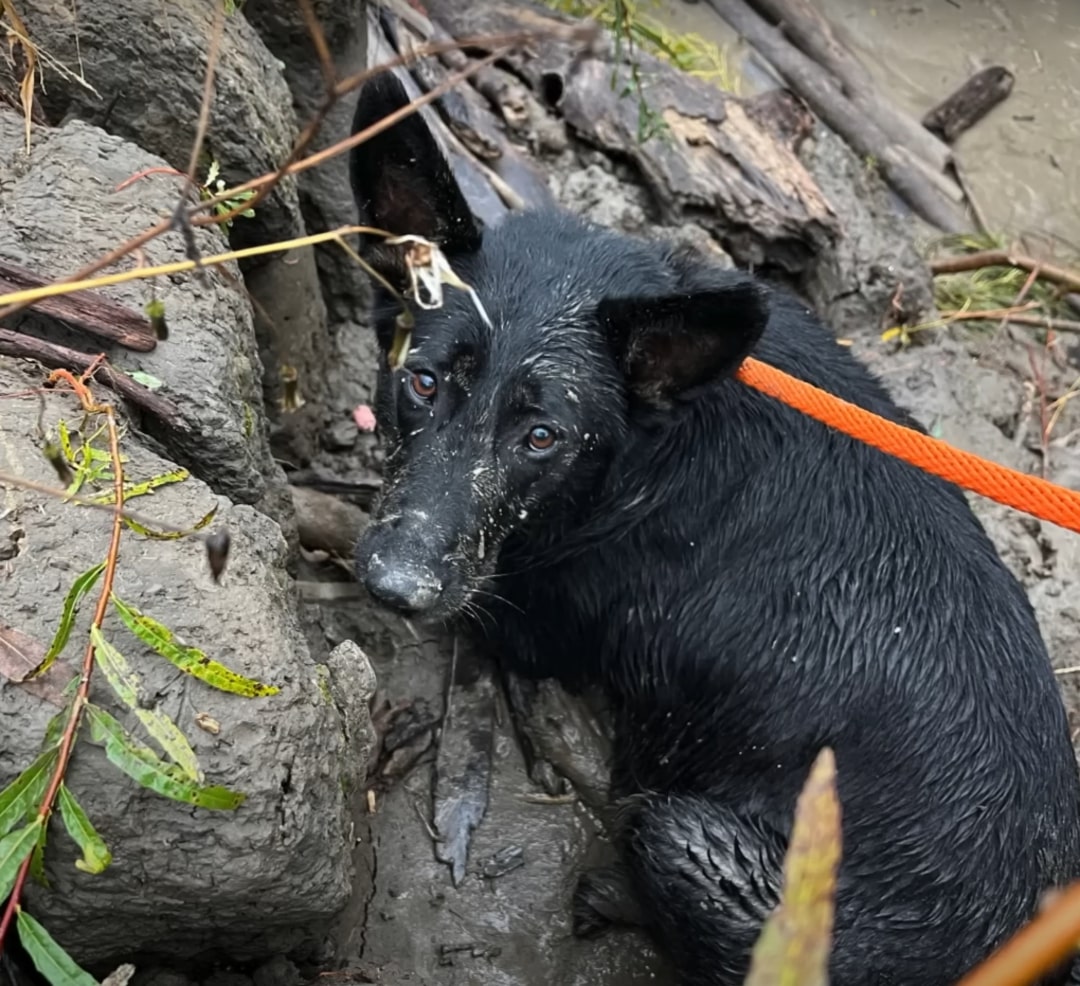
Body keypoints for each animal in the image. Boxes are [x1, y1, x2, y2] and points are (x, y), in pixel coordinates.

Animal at [349, 71, 1080, 984]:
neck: (648, 443)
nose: (393, 586)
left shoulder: (536, 609)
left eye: (542, 436)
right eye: (420, 382)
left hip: (691, 842)